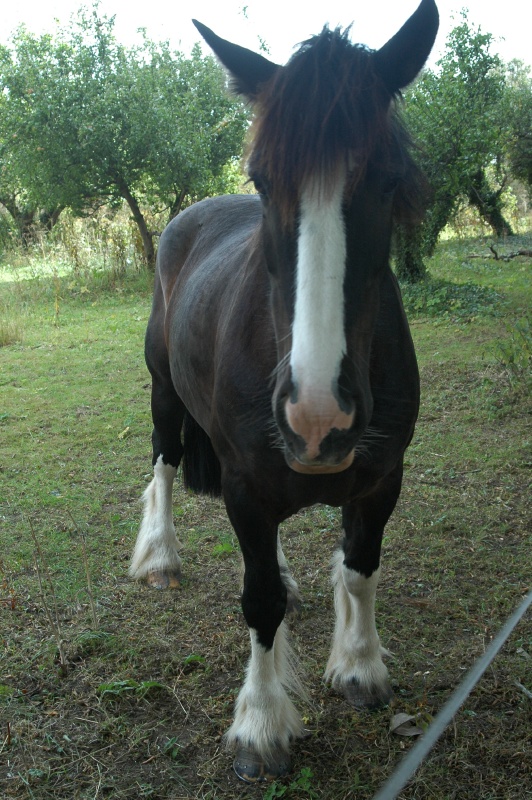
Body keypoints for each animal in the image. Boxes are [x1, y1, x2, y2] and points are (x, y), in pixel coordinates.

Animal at [129, 0, 436, 784]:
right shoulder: (244, 482)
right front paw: (262, 725)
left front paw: (359, 664)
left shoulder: (382, 478)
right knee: (163, 464)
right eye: (263, 179)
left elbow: (359, 566)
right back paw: (159, 557)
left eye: (388, 178)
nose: (317, 417)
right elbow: (259, 599)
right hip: (164, 394)